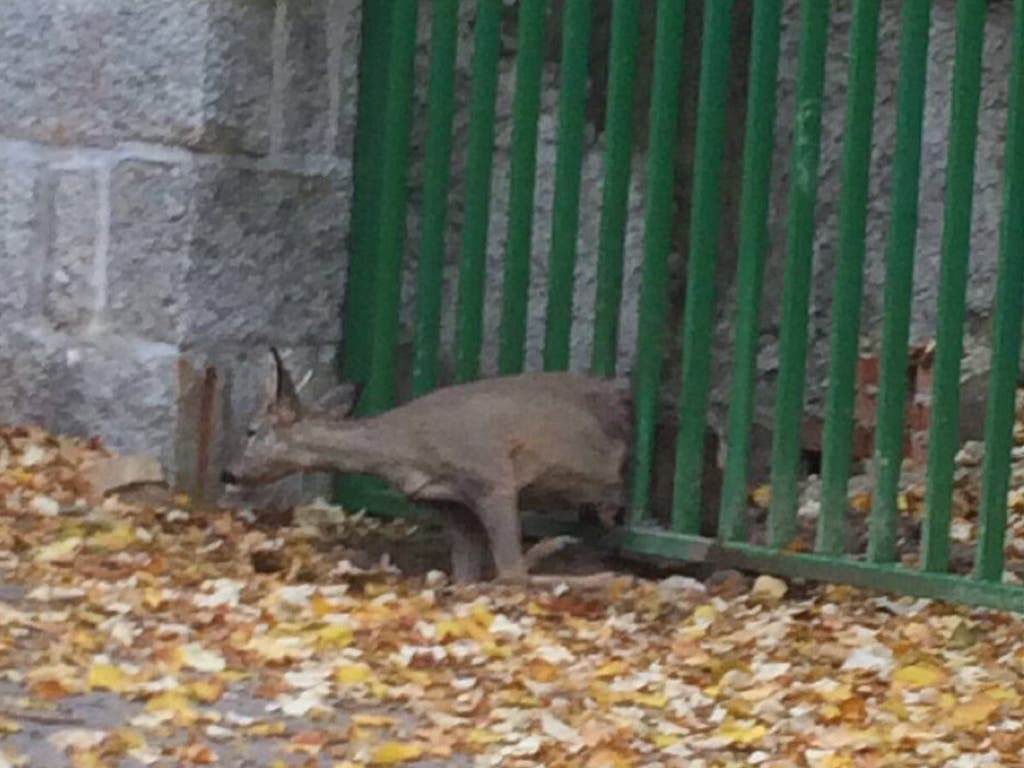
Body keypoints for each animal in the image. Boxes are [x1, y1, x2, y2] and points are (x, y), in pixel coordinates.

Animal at [224, 350, 630, 581]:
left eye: (251, 430)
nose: (229, 473)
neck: (409, 450)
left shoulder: (491, 475)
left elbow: (511, 573)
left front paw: (571, 559)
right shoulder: (447, 502)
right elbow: (465, 579)